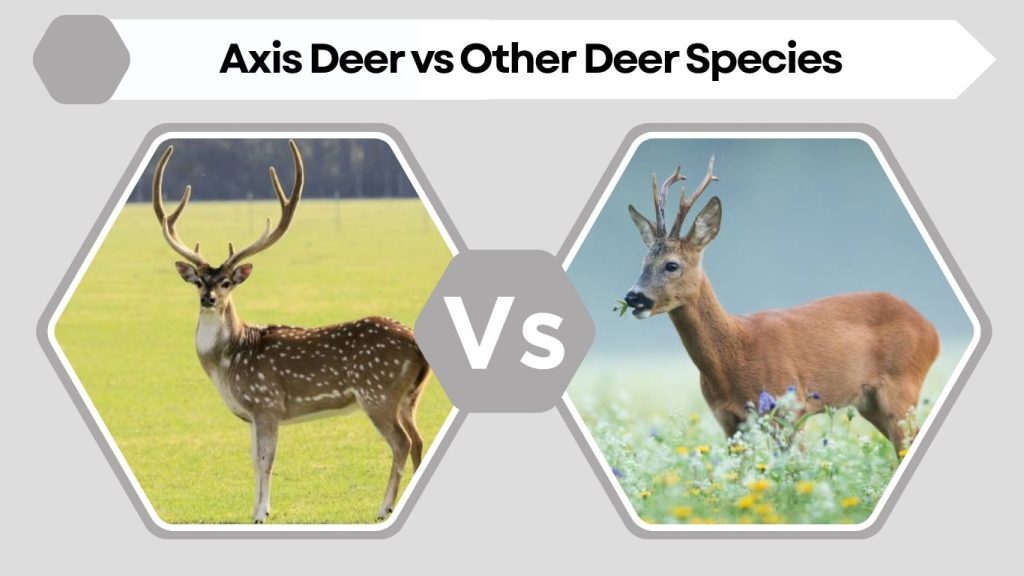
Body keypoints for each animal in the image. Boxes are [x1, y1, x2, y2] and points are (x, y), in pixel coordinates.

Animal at [151, 140, 432, 523]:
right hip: (410, 397)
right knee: (418, 440)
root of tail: (418, 344)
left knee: (402, 442)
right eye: (198, 282)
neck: (228, 363)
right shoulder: (251, 415)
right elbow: (254, 461)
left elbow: (266, 460)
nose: (209, 299)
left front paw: (261, 513)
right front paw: (256, 510)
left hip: (379, 392)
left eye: (226, 282)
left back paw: (383, 507)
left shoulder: (267, 402)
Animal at [622, 156, 939, 455]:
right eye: (643, 261)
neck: (734, 356)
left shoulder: (790, 408)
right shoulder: (730, 421)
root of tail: (931, 331)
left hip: (901, 388)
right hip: (870, 403)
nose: (633, 297)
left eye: (671, 265)